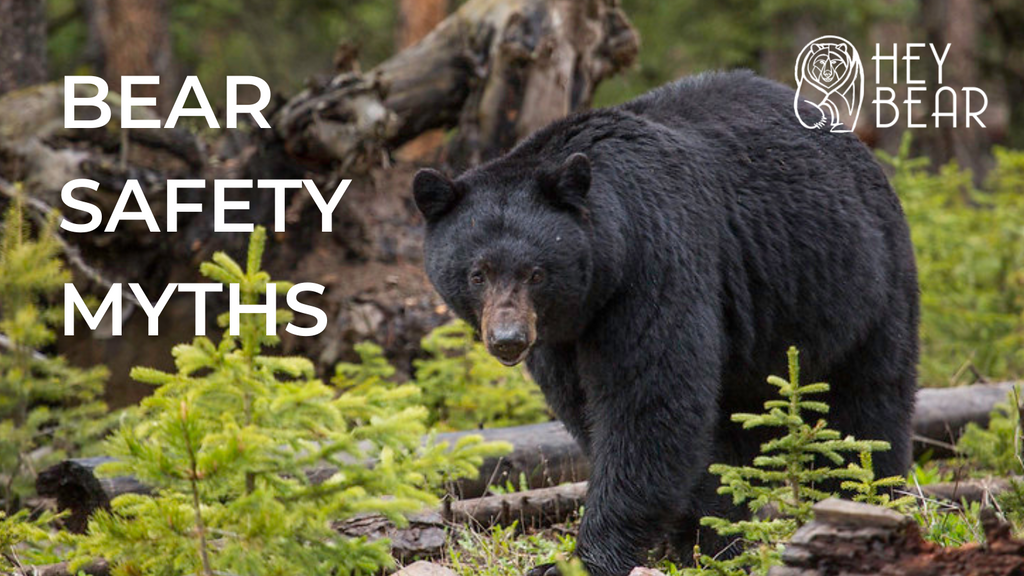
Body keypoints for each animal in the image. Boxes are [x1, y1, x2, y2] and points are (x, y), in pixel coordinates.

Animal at [412, 70, 918, 576]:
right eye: (477, 273)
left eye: (536, 272)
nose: (508, 340)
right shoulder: (562, 336)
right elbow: (588, 407)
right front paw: (698, 537)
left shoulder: (655, 263)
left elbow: (650, 404)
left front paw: (587, 557)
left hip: (860, 286)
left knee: (868, 405)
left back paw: (867, 499)